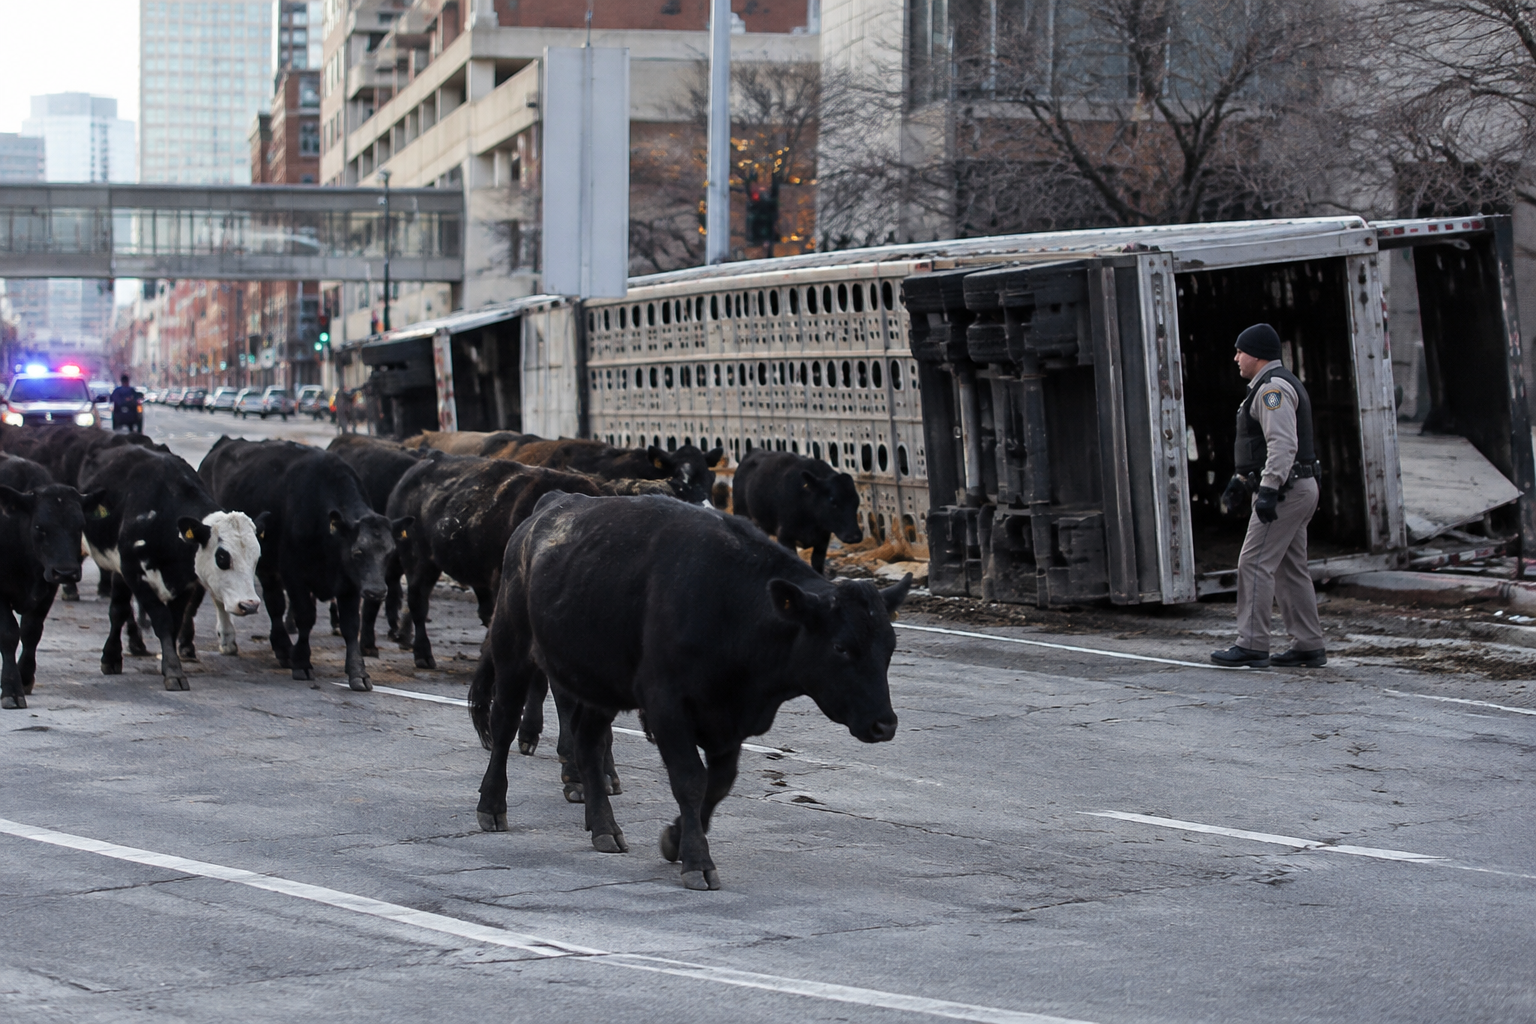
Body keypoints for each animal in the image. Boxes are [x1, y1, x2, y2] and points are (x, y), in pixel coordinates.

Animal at [0, 454, 95, 709]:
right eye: (39, 527)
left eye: (80, 526)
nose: (66, 572)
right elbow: (9, 634)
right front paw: (11, 690)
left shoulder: (48, 587)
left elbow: (31, 631)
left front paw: (24, 677)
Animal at [77, 444, 264, 691]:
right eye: (222, 557)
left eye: (256, 558)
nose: (249, 605)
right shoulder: (135, 573)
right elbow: (162, 621)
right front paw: (174, 672)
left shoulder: (185, 583)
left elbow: (174, 623)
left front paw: (169, 663)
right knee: (119, 610)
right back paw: (112, 657)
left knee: (119, 608)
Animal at [199, 437, 409, 691]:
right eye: (358, 552)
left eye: (390, 552)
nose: (377, 591)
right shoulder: (295, 576)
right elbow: (305, 617)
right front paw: (301, 662)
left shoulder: (349, 583)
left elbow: (351, 626)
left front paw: (358, 672)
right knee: (276, 607)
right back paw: (283, 649)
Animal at [470, 492, 911, 890]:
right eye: (841, 647)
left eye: (890, 645)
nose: (884, 724)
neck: (732, 605)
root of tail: (546, 510)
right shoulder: (667, 708)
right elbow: (690, 781)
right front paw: (698, 862)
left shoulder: (730, 721)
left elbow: (718, 784)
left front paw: (675, 839)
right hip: (514, 650)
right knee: (504, 722)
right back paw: (492, 807)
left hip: (601, 686)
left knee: (588, 742)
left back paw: (604, 827)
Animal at [731, 450, 864, 574]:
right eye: (832, 501)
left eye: (856, 501)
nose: (855, 536)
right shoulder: (785, 536)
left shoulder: (823, 538)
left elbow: (817, 563)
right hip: (741, 513)